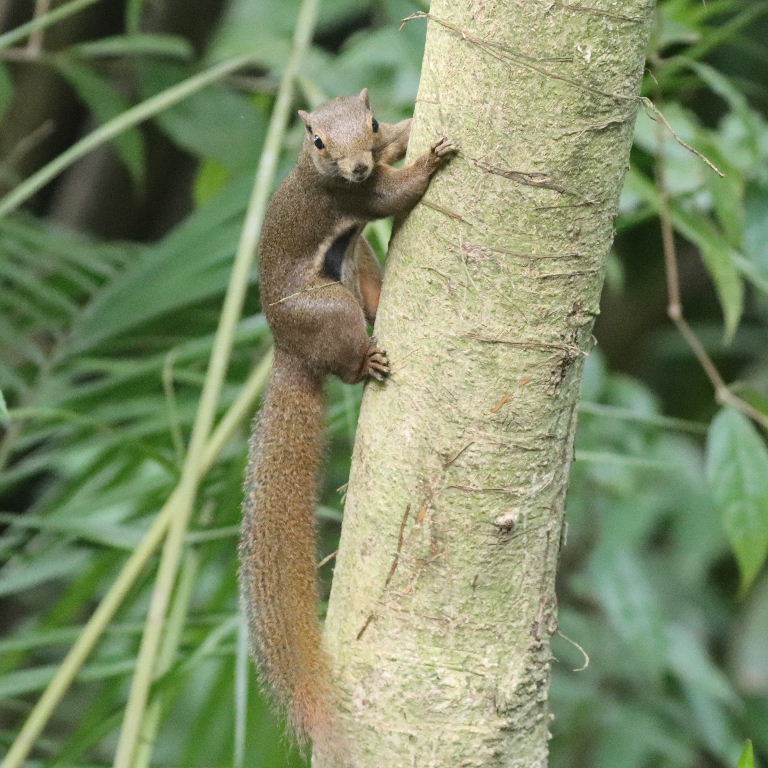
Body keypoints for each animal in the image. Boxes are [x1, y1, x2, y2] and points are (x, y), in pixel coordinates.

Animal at [239, 88, 456, 759]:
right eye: (317, 142)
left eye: (372, 121)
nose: (357, 165)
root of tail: (290, 350)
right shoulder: (350, 201)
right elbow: (392, 197)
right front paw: (430, 159)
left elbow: (397, 148)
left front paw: (413, 134)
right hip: (329, 304)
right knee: (344, 359)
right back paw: (366, 362)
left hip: (358, 262)